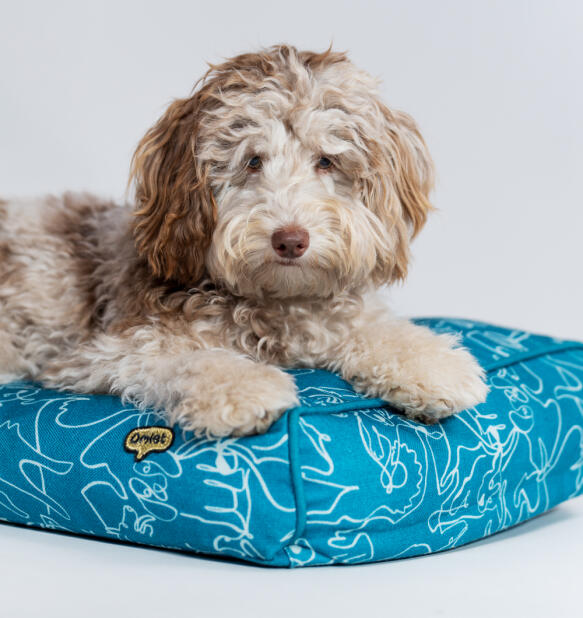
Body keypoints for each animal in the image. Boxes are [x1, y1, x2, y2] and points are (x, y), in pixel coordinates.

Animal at [0, 43, 488, 436]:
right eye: (253, 161)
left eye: (326, 161)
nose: (290, 240)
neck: (276, 305)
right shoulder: (101, 351)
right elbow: (182, 358)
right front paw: (244, 389)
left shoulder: (327, 319)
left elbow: (368, 327)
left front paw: (432, 365)